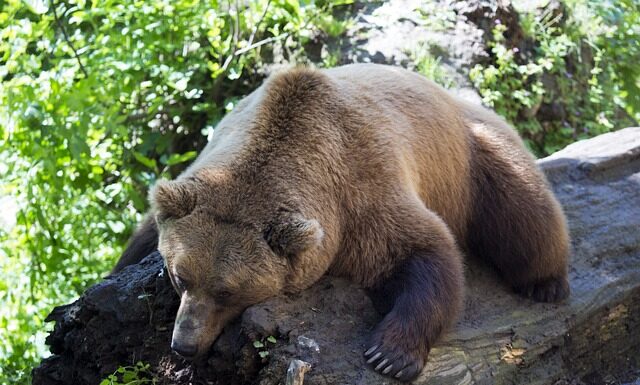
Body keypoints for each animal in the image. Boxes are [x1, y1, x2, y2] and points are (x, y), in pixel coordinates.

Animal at [114, 63, 568, 380]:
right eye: (180, 276)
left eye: (228, 291)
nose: (184, 345)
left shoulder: (360, 194)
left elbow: (426, 250)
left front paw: (389, 355)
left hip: (474, 157)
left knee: (525, 213)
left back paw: (546, 284)